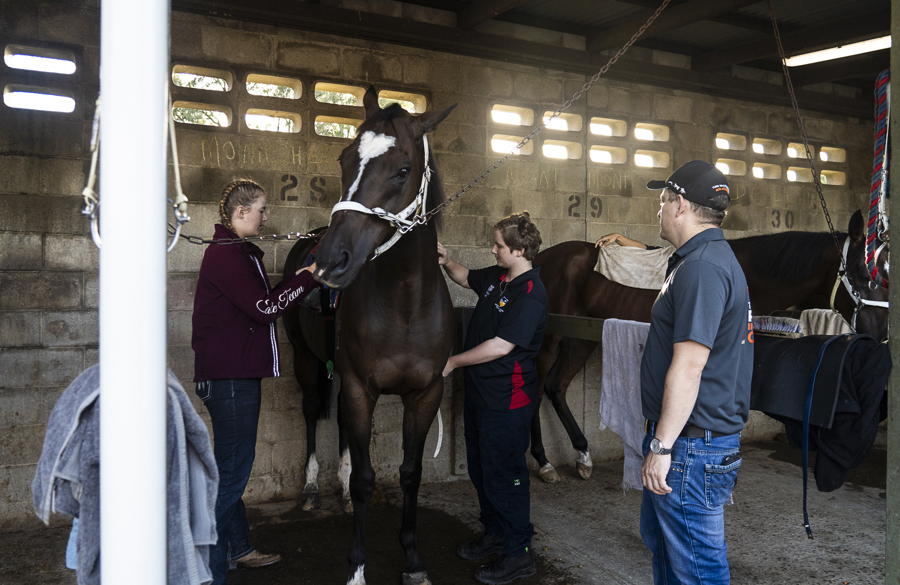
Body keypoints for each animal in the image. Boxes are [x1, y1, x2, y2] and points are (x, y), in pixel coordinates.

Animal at [284, 86, 455, 585]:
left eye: (402, 170)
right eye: (343, 159)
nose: (330, 262)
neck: (406, 306)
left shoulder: (425, 394)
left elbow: (411, 473)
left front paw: (413, 562)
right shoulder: (362, 389)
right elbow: (365, 478)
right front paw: (357, 567)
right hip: (306, 362)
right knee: (311, 412)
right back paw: (311, 489)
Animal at [529, 209, 889, 482]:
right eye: (863, 276)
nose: (881, 335)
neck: (746, 278)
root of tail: (543, 258)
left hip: (578, 339)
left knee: (556, 387)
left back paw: (583, 455)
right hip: (548, 340)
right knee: (536, 388)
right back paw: (544, 463)